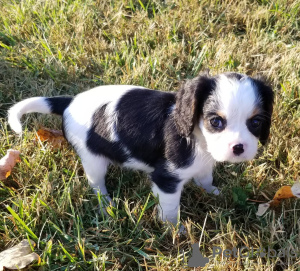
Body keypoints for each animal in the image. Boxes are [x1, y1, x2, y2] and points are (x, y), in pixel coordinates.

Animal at [7, 72, 274, 225]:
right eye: (216, 122)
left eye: (256, 123)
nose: (239, 147)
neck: (198, 139)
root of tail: (69, 102)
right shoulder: (167, 178)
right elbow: (170, 208)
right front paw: (173, 230)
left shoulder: (204, 164)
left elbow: (205, 179)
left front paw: (213, 193)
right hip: (92, 159)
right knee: (96, 184)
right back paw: (106, 205)